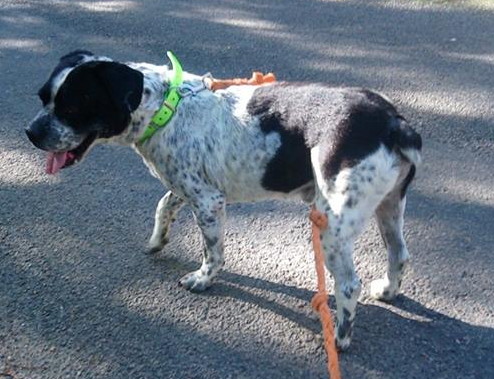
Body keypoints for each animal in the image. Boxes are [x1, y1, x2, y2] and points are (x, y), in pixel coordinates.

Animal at [26, 50, 420, 350]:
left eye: (72, 107)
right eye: (43, 97)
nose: (30, 132)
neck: (166, 108)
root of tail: (394, 122)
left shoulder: (209, 202)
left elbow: (212, 252)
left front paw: (202, 280)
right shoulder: (187, 188)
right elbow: (164, 206)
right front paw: (157, 241)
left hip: (331, 224)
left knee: (350, 285)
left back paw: (339, 339)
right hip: (388, 208)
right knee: (399, 254)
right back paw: (388, 291)